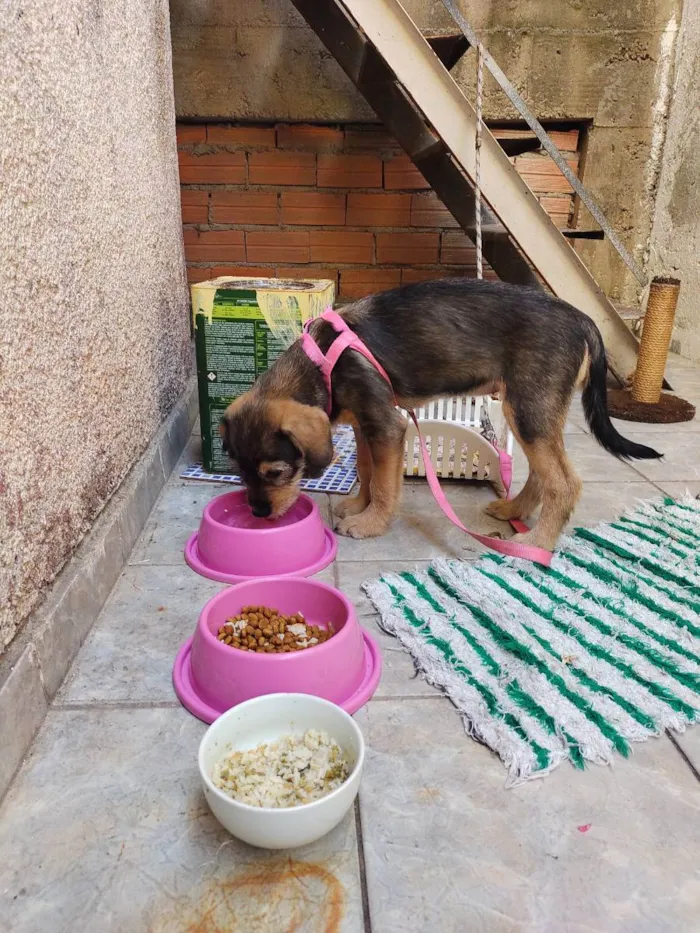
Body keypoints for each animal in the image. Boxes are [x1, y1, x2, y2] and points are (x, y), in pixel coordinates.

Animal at [220, 280, 660, 548]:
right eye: (239, 470)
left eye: (277, 473)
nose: (258, 513)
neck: (321, 361)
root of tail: (583, 319)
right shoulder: (366, 426)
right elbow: (366, 471)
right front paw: (359, 506)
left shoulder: (386, 427)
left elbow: (384, 484)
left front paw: (370, 524)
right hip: (533, 411)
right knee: (545, 472)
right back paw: (514, 511)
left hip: (529, 409)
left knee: (565, 483)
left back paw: (535, 544)